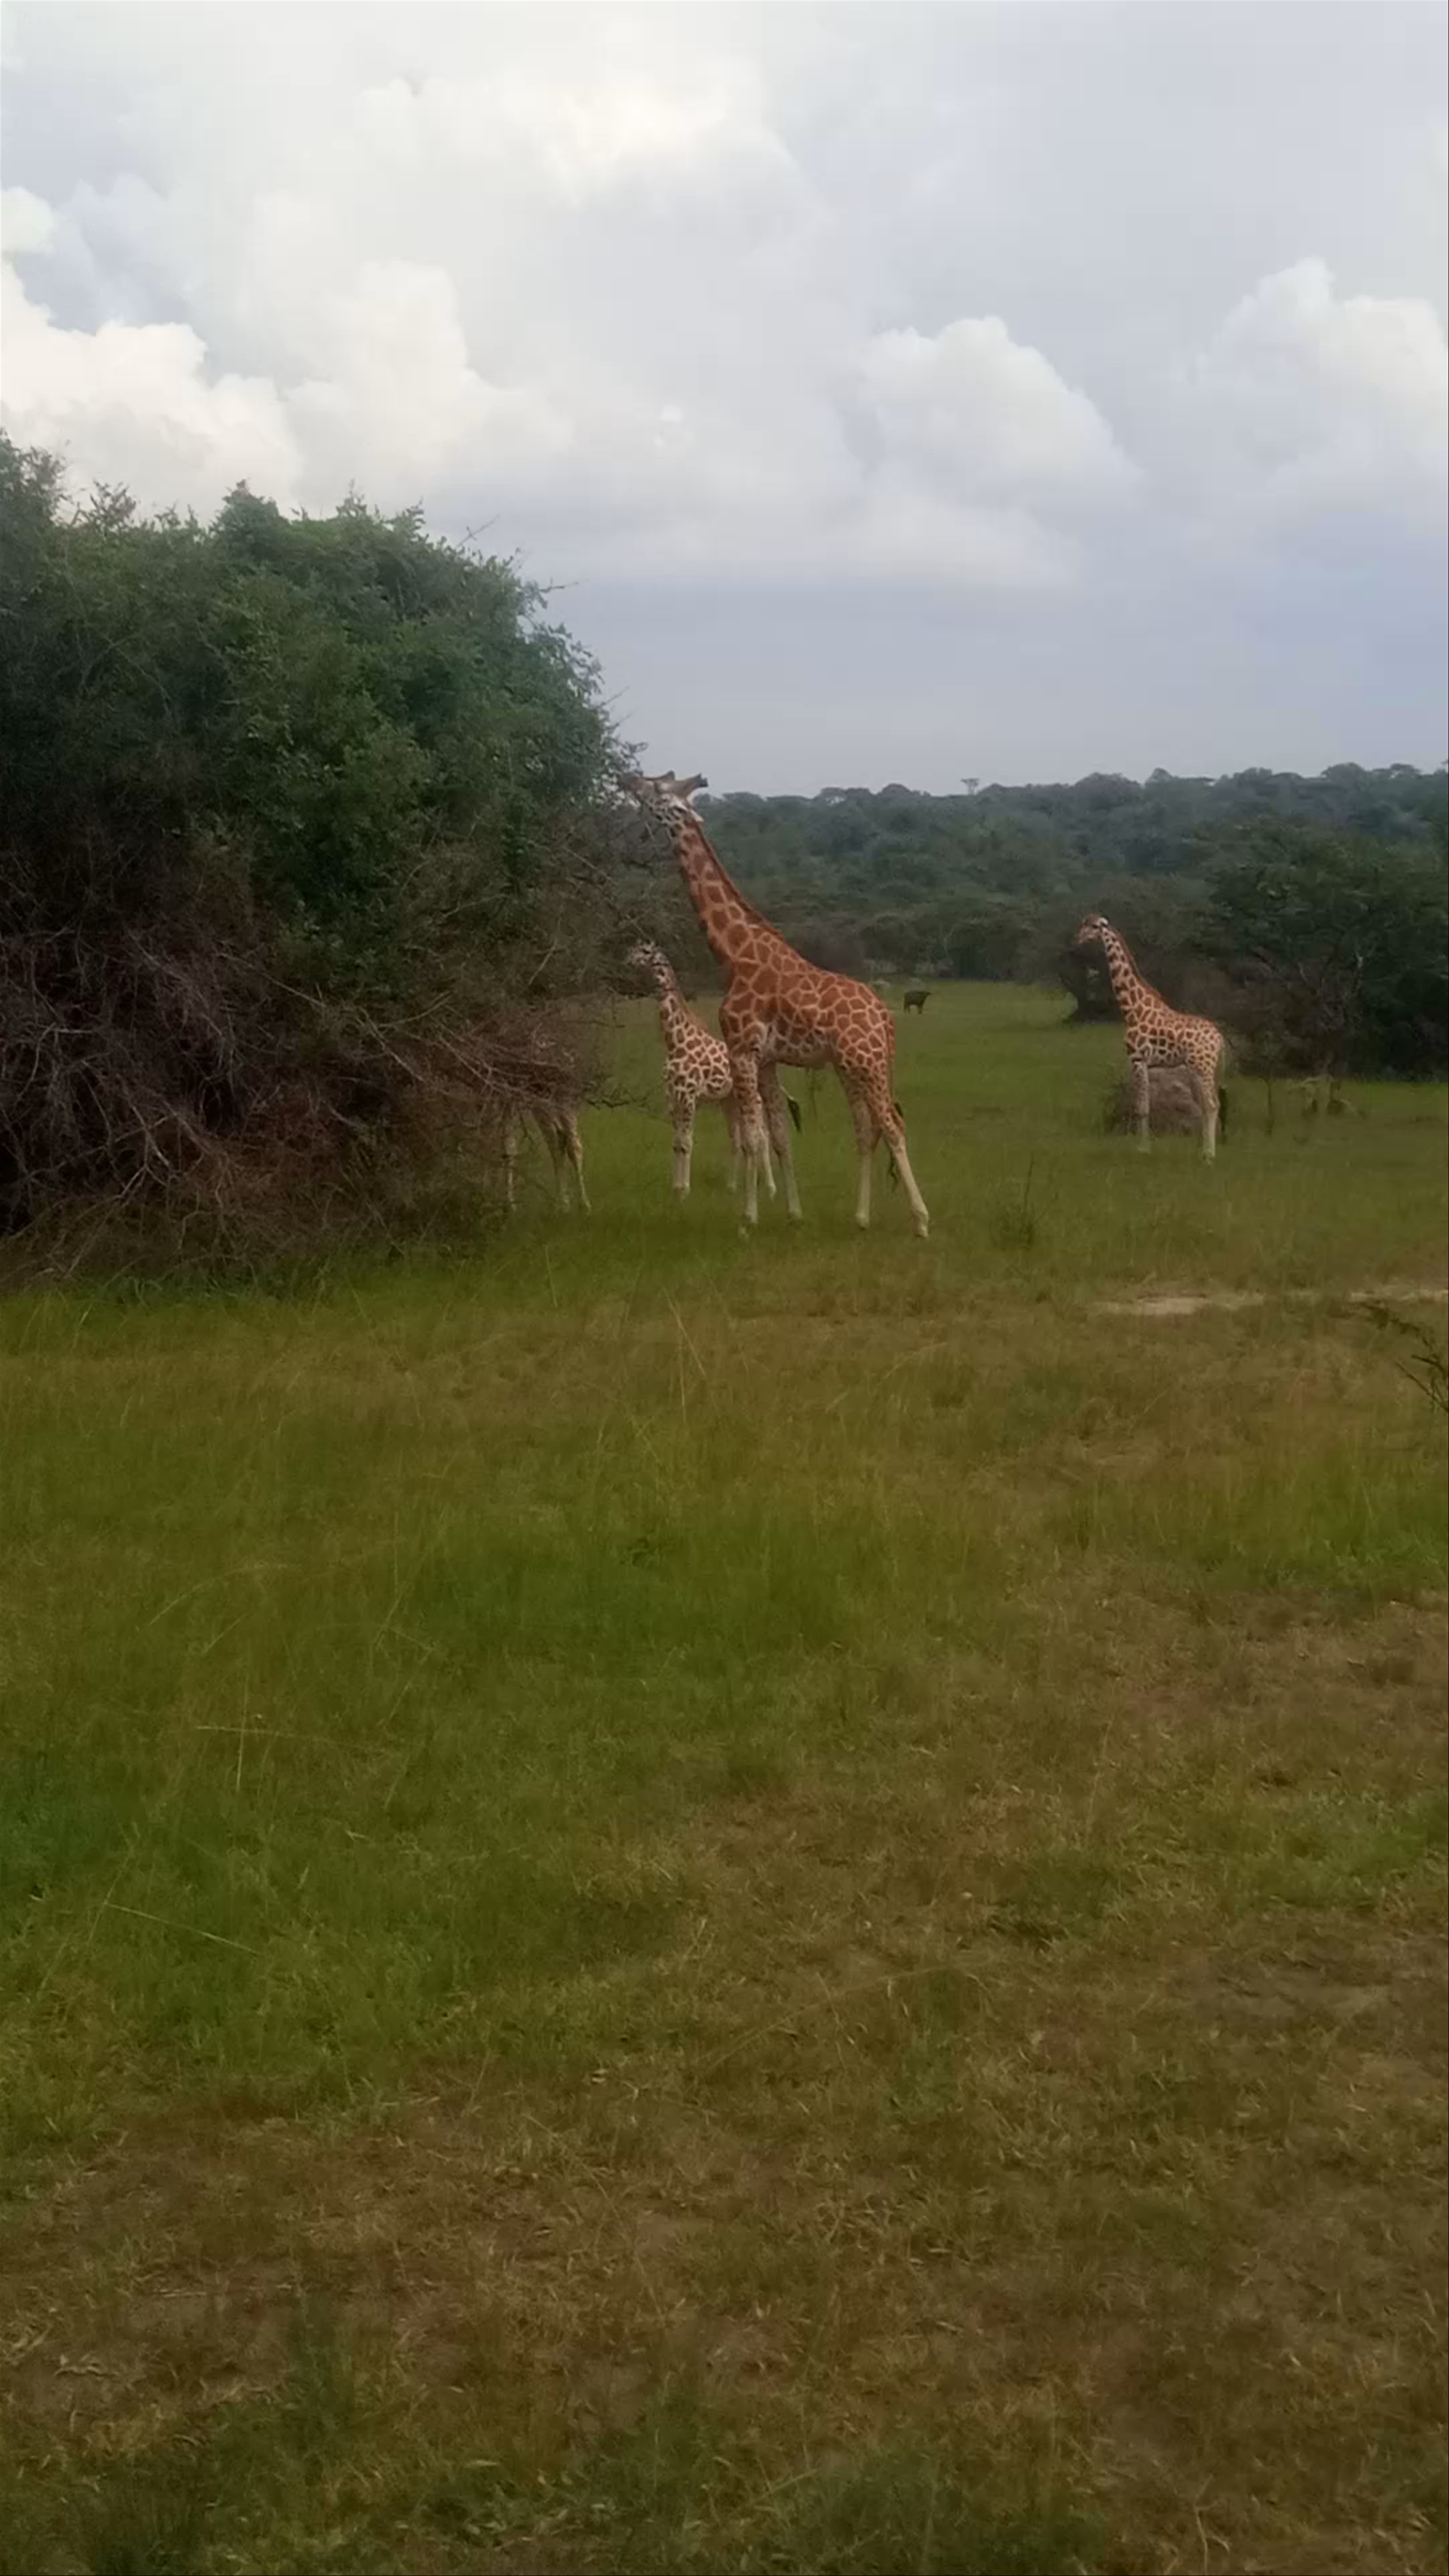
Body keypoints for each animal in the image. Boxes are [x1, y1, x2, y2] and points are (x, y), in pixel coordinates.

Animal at [627, 939, 801, 1200]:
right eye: (633, 950)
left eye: (646, 952)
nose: (627, 960)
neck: (675, 1041)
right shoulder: (672, 1097)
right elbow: (677, 1142)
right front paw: (675, 1188)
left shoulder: (689, 1097)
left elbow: (687, 1142)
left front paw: (685, 1191)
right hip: (730, 1102)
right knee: (739, 1140)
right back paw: (734, 1186)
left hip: (754, 1101)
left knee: (762, 1138)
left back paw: (770, 1188)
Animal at [1074, 913, 1225, 1160]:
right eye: (1083, 924)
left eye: (1093, 927)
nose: (1077, 939)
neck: (1132, 1009)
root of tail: (1220, 1039)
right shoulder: (1146, 1062)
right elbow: (1145, 1106)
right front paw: (1145, 1147)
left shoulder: (1138, 1059)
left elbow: (1142, 1107)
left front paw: (1143, 1149)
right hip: (1201, 1068)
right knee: (1211, 1105)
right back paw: (1204, 1151)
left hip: (1203, 1066)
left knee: (1211, 1105)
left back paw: (1209, 1157)